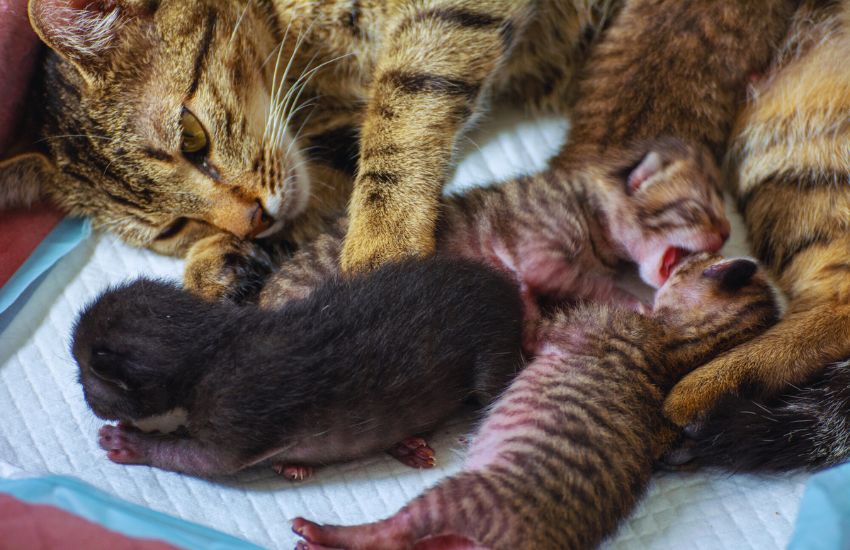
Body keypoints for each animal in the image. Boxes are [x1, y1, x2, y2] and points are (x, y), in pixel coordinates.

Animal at [74, 258, 524, 478]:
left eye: (84, 376)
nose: (84, 399)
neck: (214, 345)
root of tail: (506, 286)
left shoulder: (236, 415)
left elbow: (203, 459)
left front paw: (133, 444)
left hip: (492, 349)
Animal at [292, 254, 780, 550]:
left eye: (687, 267)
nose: (674, 258)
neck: (682, 346)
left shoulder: (550, 336)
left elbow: (528, 312)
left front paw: (518, 274)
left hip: (462, 497)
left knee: (394, 532)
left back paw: (322, 531)